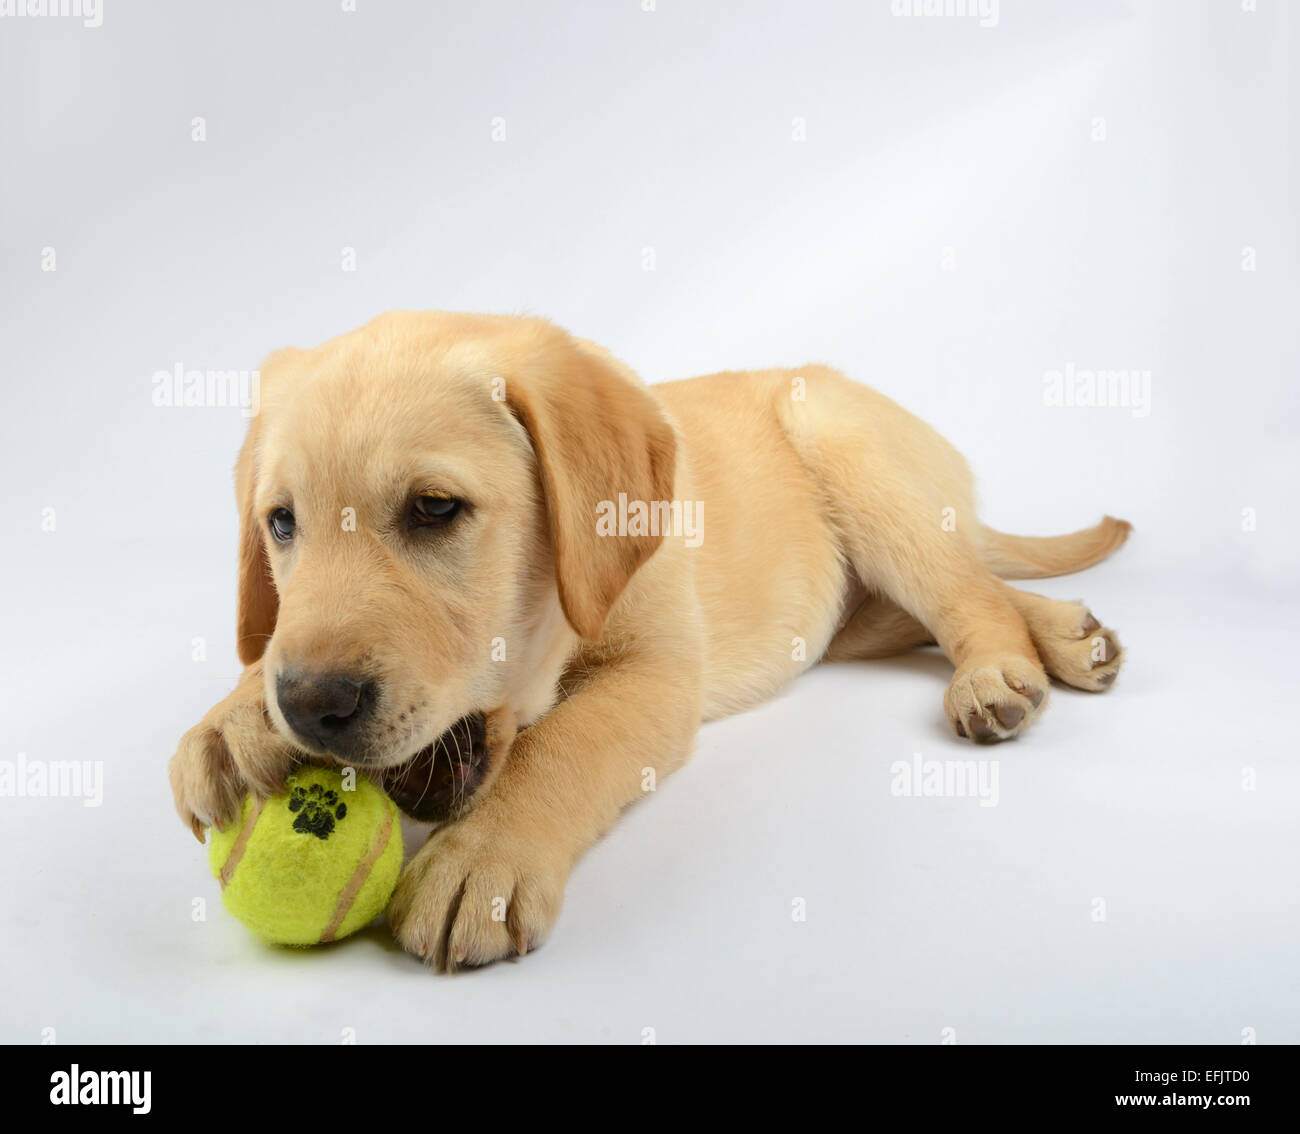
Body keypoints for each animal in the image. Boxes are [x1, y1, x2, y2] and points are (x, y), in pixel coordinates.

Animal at [172, 308, 1128, 967]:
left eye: (435, 509)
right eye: (281, 524)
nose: (311, 705)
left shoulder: (659, 675)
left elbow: (562, 743)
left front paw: (482, 857)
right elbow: (266, 652)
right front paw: (231, 721)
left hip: (851, 455)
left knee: (965, 588)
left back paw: (999, 670)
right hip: (848, 610)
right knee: (956, 589)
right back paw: (1067, 634)